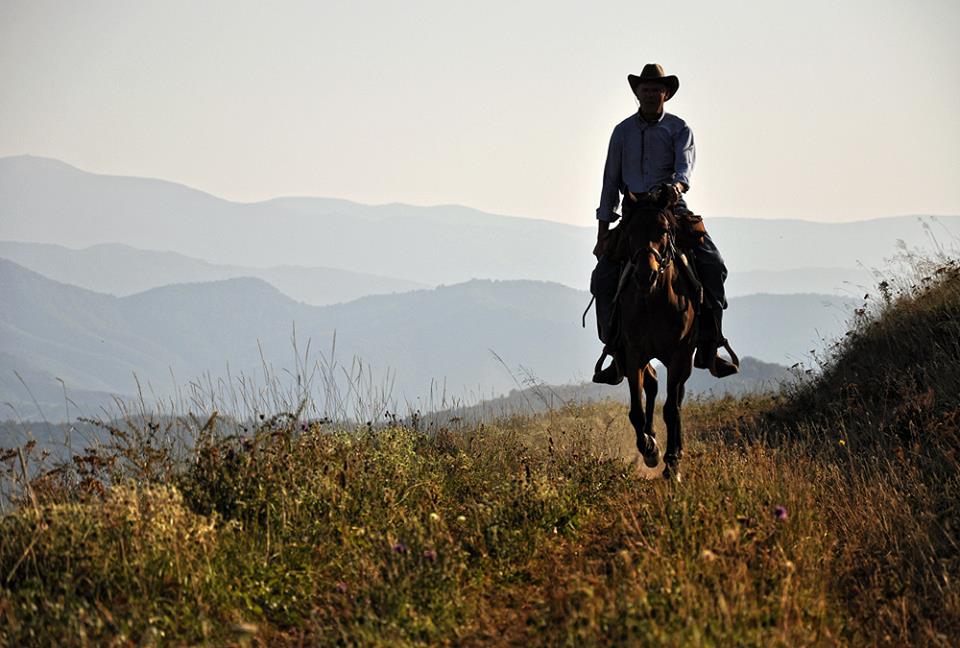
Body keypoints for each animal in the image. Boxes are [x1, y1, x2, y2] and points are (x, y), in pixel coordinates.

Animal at [612, 187, 700, 480]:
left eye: (663, 230)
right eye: (630, 231)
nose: (645, 274)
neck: (654, 300)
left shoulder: (678, 354)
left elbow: (671, 409)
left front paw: (672, 464)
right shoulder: (633, 353)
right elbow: (637, 411)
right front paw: (650, 449)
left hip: (686, 358)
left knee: (678, 397)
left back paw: (677, 452)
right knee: (652, 384)